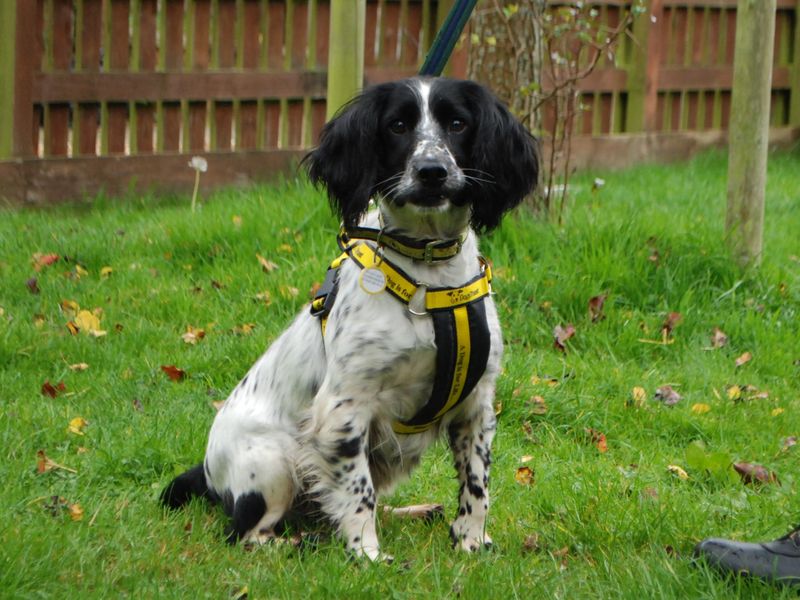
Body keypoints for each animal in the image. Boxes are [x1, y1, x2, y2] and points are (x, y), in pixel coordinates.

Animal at [161, 77, 536, 560]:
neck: (428, 278)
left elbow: (477, 484)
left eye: (457, 123)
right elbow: (357, 494)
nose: (431, 171)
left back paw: (409, 512)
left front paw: (470, 543)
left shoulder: (476, 404)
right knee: (247, 533)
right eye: (397, 126)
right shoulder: (343, 407)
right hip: (274, 461)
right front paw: (367, 555)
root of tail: (207, 470)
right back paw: (299, 543)